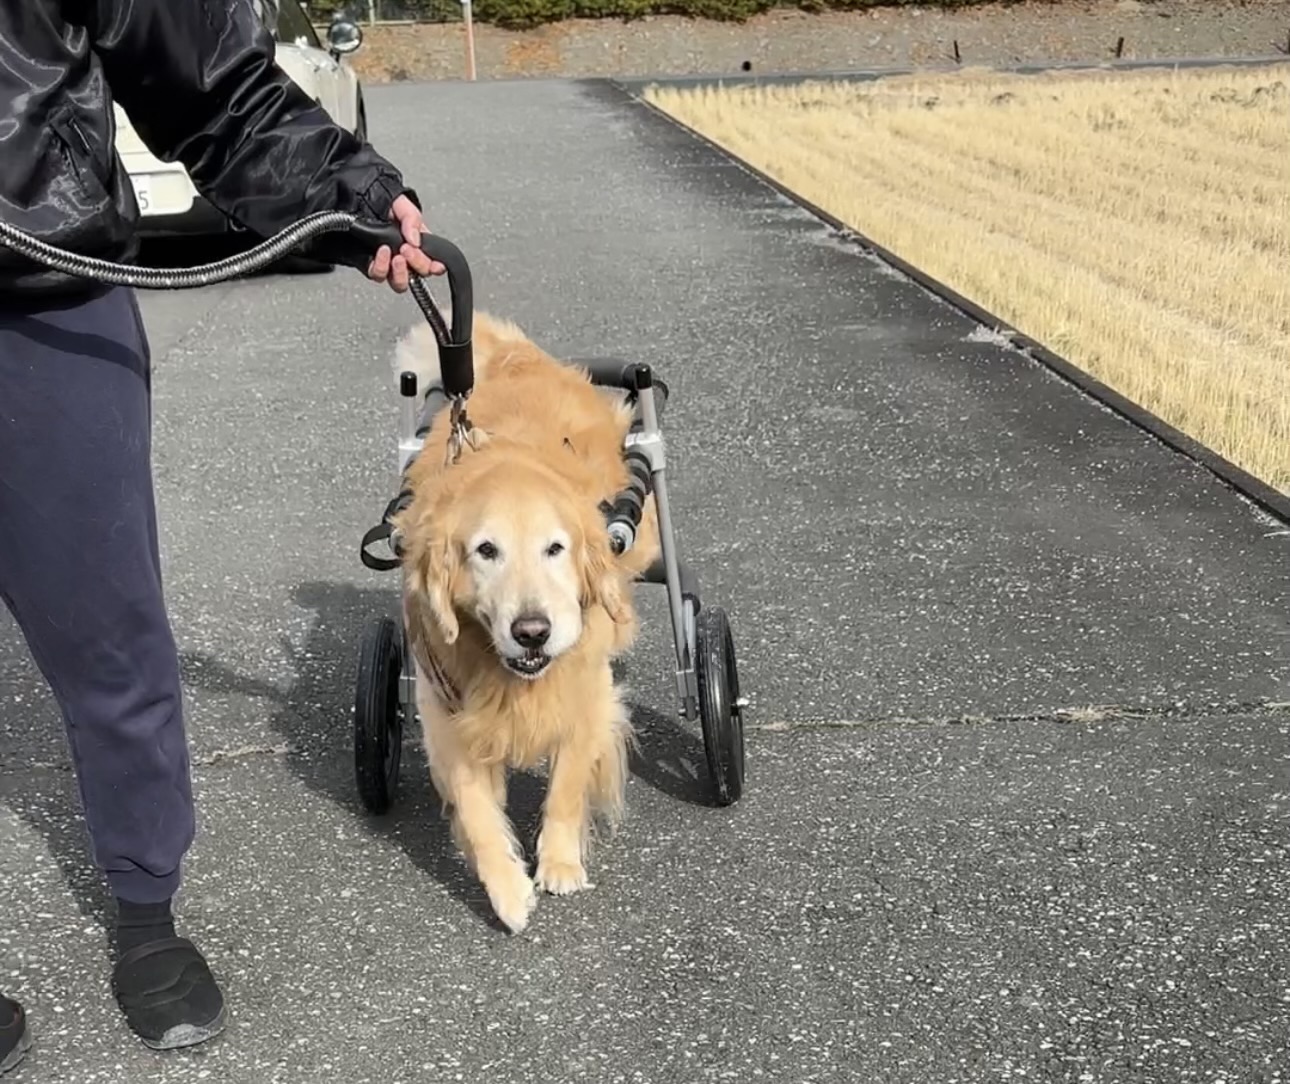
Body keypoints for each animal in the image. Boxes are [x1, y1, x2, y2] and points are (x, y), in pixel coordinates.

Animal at [389, 304, 655, 929]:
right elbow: (477, 810)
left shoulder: (588, 692)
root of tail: (520, 358)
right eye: (486, 551)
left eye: (555, 548)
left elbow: (566, 784)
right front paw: (507, 890)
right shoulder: (445, 709)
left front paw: (558, 863)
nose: (532, 632)